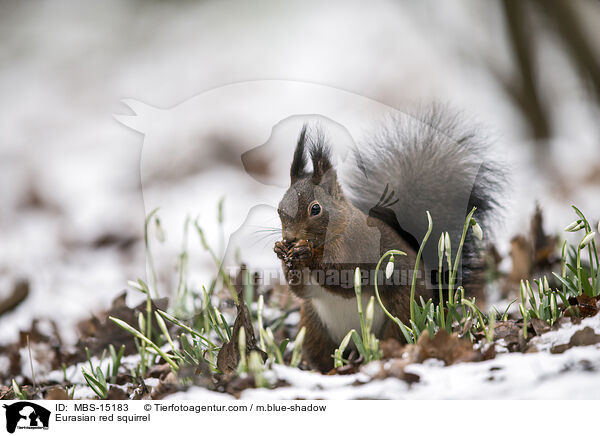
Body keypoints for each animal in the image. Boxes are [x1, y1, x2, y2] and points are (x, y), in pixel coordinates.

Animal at [274, 107, 504, 370]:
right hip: (314, 330)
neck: (336, 230)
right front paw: (282, 254)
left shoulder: (359, 247)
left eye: (315, 209)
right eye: (280, 208)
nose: (290, 238)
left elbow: (341, 277)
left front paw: (305, 253)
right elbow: (303, 291)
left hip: (401, 314)